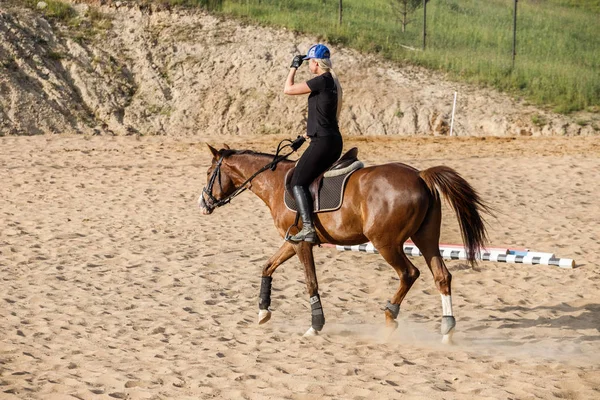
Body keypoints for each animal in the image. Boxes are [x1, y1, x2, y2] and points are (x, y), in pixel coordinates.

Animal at [197, 142, 488, 342]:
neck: (276, 183)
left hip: (386, 243)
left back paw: (390, 315)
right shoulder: (291, 242)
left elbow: (311, 282)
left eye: (210, 172)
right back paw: (447, 329)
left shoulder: (302, 244)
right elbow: (267, 266)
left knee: (409, 273)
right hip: (425, 239)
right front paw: (263, 312)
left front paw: (315, 325)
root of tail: (420, 175)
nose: (203, 204)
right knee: (442, 276)